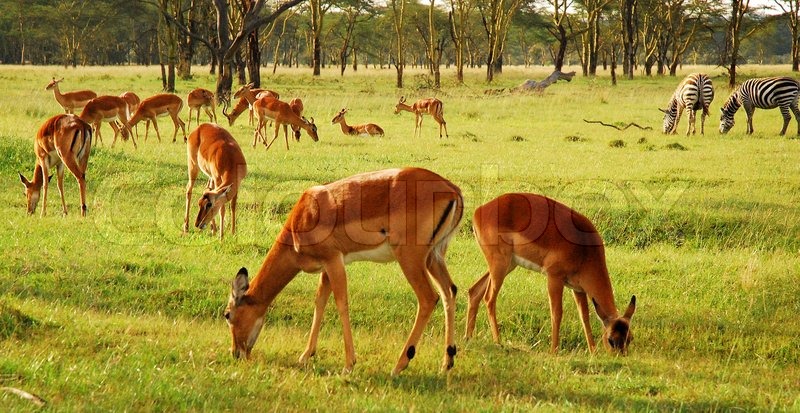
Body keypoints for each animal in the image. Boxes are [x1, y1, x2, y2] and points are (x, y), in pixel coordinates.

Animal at [223, 167, 463, 375]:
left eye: (227, 314)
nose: (236, 353)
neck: (303, 216)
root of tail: (453, 190)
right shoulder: (326, 267)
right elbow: (320, 301)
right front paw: (306, 355)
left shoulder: (333, 261)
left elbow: (341, 303)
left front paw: (349, 364)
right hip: (434, 258)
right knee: (449, 291)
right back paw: (447, 363)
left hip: (410, 259)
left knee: (428, 298)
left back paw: (399, 366)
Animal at [464, 193, 636, 355]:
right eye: (611, 340)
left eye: (630, 338)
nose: (620, 357)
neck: (585, 249)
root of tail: (479, 211)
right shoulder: (554, 277)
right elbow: (557, 313)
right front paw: (554, 350)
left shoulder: (578, 289)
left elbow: (584, 317)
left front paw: (592, 351)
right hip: (500, 265)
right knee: (489, 298)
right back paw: (498, 341)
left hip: (507, 265)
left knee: (474, 291)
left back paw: (468, 337)